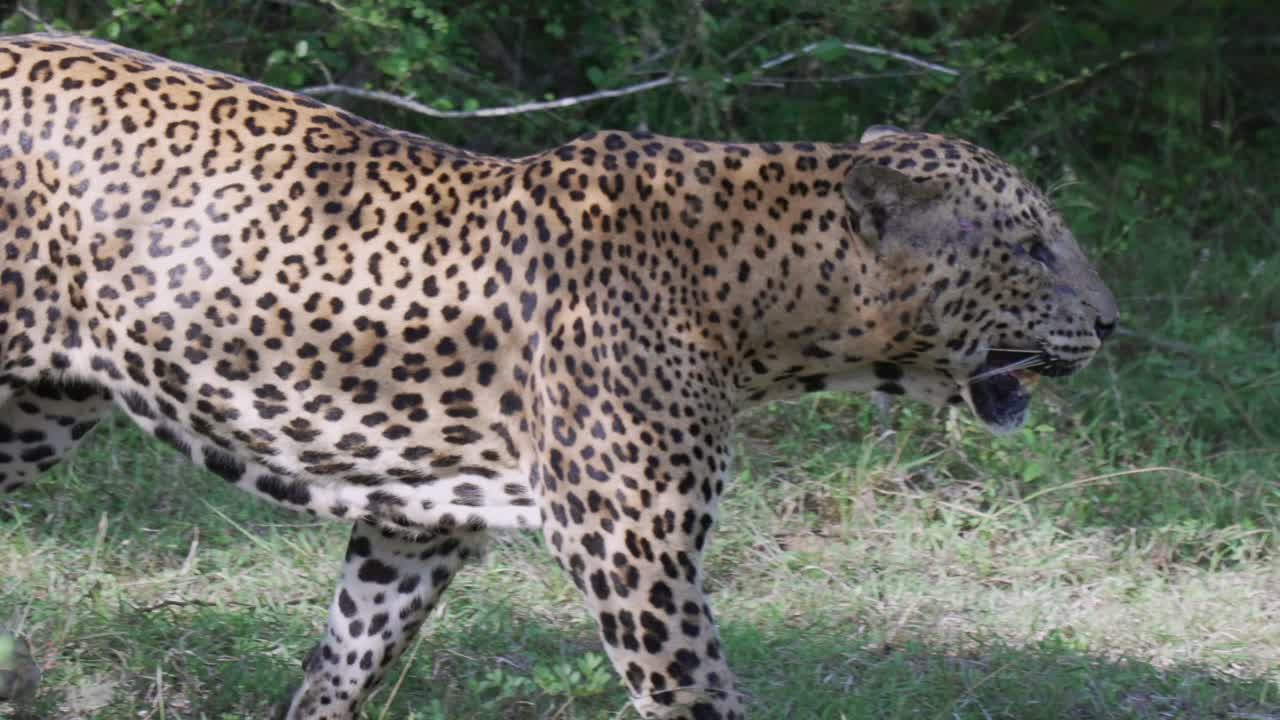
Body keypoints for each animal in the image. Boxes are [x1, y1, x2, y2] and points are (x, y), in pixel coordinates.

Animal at [0, 34, 1116, 719]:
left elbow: (341, 665)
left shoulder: (416, 528)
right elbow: (703, 699)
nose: (1112, 323)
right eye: (1029, 246)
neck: (764, 299)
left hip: (41, 412)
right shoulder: (632, 554)